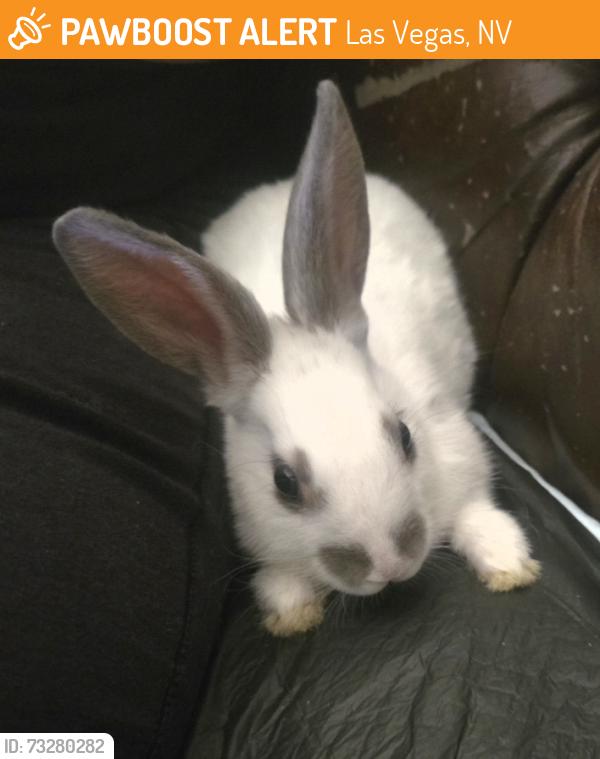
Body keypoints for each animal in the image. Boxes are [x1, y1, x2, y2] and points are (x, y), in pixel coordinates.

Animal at [52, 80, 540, 637]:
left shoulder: (460, 454)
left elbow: (479, 515)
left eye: (405, 435)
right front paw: (291, 616)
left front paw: (508, 567)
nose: (389, 564)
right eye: (283, 483)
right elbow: (279, 577)